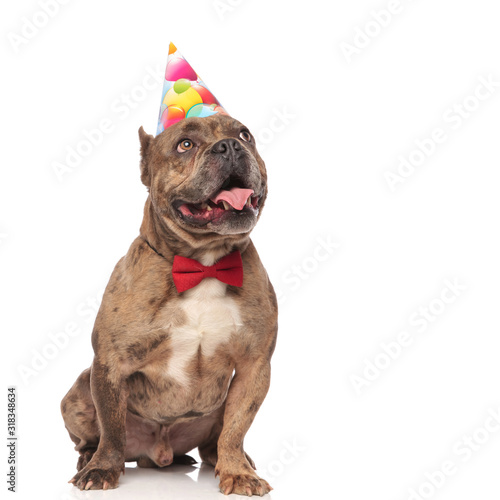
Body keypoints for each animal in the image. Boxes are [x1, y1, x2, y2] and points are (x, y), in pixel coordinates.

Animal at [60, 114, 278, 496]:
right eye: (185, 145)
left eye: (245, 135)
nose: (230, 146)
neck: (203, 263)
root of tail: (157, 453)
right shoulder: (110, 364)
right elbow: (112, 427)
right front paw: (102, 469)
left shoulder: (254, 367)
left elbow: (237, 426)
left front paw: (238, 473)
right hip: (78, 392)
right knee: (94, 436)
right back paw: (89, 459)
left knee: (215, 440)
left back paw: (223, 460)